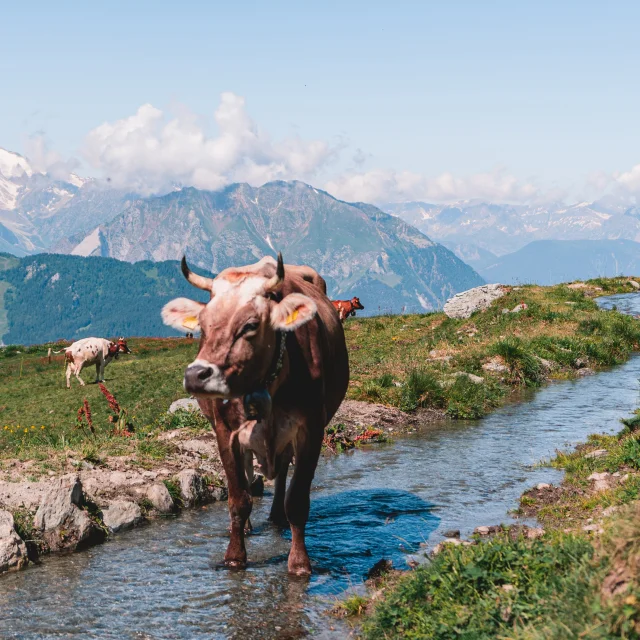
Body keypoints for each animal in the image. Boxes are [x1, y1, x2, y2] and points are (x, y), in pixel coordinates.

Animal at [161, 255, 350, 576]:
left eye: (250, 325)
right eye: (202, 325)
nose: (196, 375)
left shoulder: (311, 429)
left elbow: (297, 500)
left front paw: (299, 563)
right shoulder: (226, 432)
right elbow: (239, 498)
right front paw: (235, 557)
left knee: (283, 471)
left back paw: (276, 517)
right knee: (249, 479)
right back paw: (248, 527)